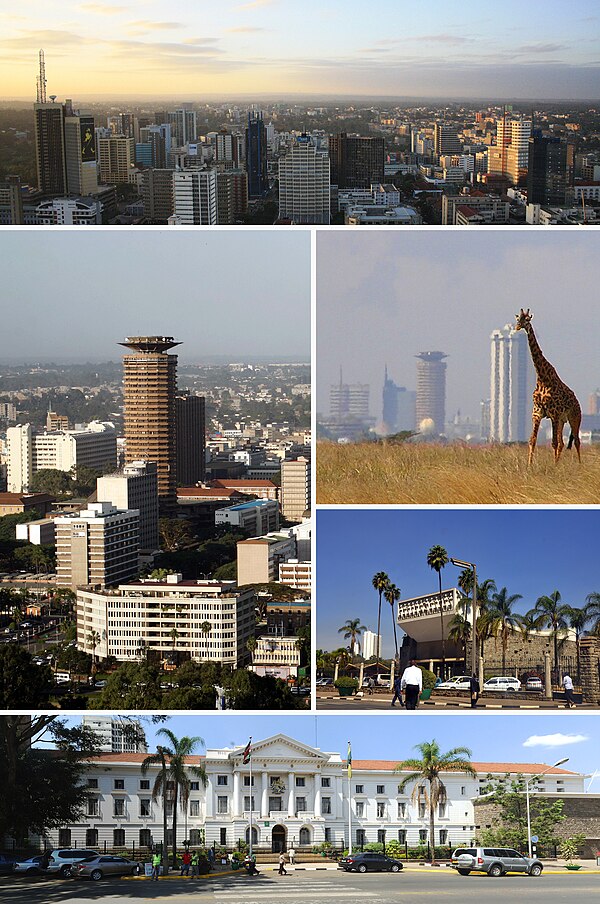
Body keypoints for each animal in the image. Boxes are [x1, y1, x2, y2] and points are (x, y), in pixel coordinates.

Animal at [512, 308, 580, 466]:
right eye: (518, 319)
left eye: (527, 320)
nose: (517, 327)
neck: (543, 378)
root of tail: (577, 401)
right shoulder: (537, 413)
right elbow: (532, 440)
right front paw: (529, 466)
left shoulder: (554, 413)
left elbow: (553, 443)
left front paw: (554, 467)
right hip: (562, 420)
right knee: (563, 443)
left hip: (574, 417)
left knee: (576, 442)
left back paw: (579, 465)